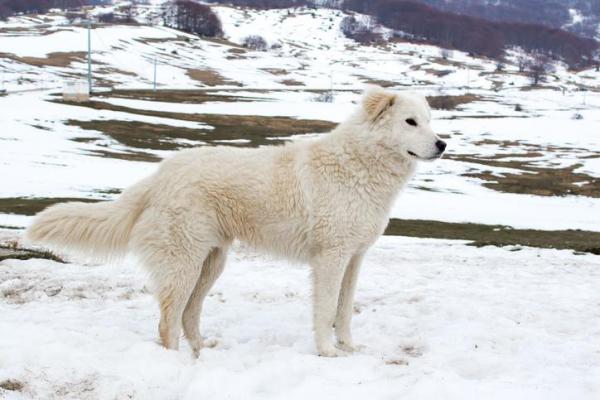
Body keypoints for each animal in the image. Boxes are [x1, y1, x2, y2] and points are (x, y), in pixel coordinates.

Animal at [25, 86, 446, 356]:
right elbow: (326, 309)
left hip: (211, 263)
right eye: (410, 122)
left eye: (429, 121)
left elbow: (343, 311)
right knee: (168, 321)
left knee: (188, 315)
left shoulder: (354, 258)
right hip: (183, 263)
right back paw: (175, 362)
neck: (361, 163)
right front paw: (328, 352)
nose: (443, 144)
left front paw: (349, 346)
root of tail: (160, 175)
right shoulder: (331, 258)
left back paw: (202, 352)